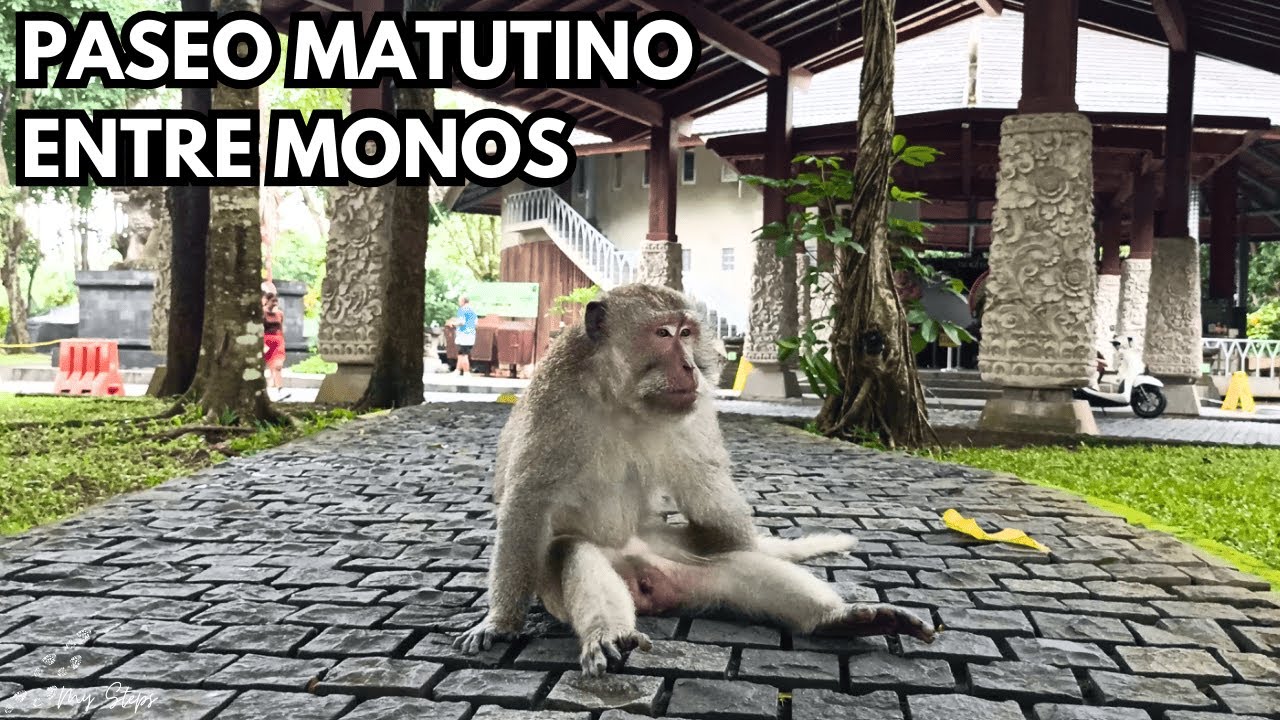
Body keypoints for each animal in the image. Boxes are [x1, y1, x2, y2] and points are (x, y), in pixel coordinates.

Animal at [454, 283, 934, 675]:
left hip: (676, 561)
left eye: (686, 333)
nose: (690, 367)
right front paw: (500, 622)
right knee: (569, 550)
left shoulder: (692, 408)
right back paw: (610, 632)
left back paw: (838, 619)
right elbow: (529, 500)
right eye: (663, 334)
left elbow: (713, 499)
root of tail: (647, 581)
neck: (620, 396)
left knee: (735, 563)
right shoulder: (555, 401)